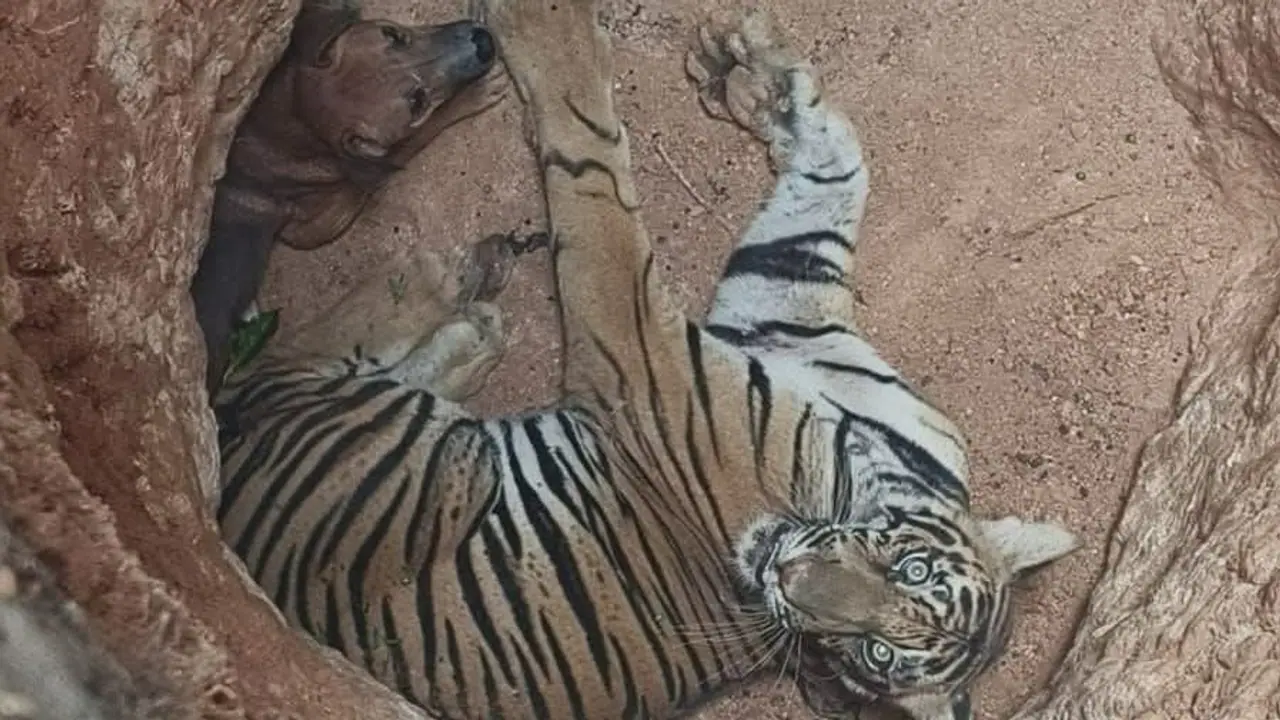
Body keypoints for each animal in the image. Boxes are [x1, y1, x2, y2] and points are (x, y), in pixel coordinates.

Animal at [213, 2, 1081, 719]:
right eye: (912, 569)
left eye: (870, 653)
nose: (788, 581)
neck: (870, 463)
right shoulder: (777, 311)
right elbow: (833, 174)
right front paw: (754, 74)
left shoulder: (646, 359)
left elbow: (590, 169)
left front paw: (544, 27)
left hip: (428, 464)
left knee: (285, 363)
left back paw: (453, 300)